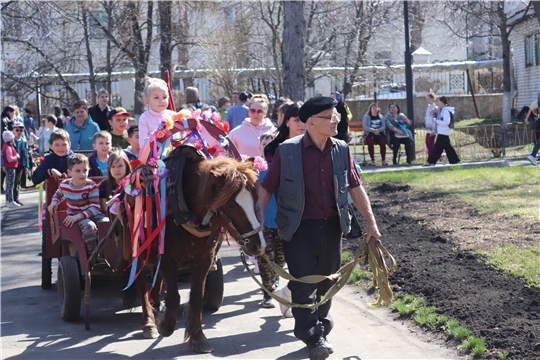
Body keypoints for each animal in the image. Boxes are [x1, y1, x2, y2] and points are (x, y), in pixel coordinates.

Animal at [122, 146, 266, 352]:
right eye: (231, 204)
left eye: (255, 198)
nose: (258, 245)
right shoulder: (168, 257)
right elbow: (174, 296)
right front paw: (166, 326)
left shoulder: (205, 258)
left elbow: (197, 296)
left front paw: (197, 337)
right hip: (140, 251)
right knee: (142, 284)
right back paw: (149, 322)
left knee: (157, 278)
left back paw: (156, 304)